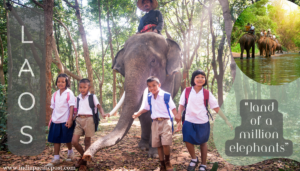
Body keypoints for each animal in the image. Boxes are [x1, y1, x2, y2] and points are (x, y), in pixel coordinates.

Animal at [81, 32, 182, 160]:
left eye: (153, 61)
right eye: (124, 64)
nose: (86, 155)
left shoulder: (169, 78)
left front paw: (155, 155)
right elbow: (143, 111)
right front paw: (148, 149)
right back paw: (143, 146)